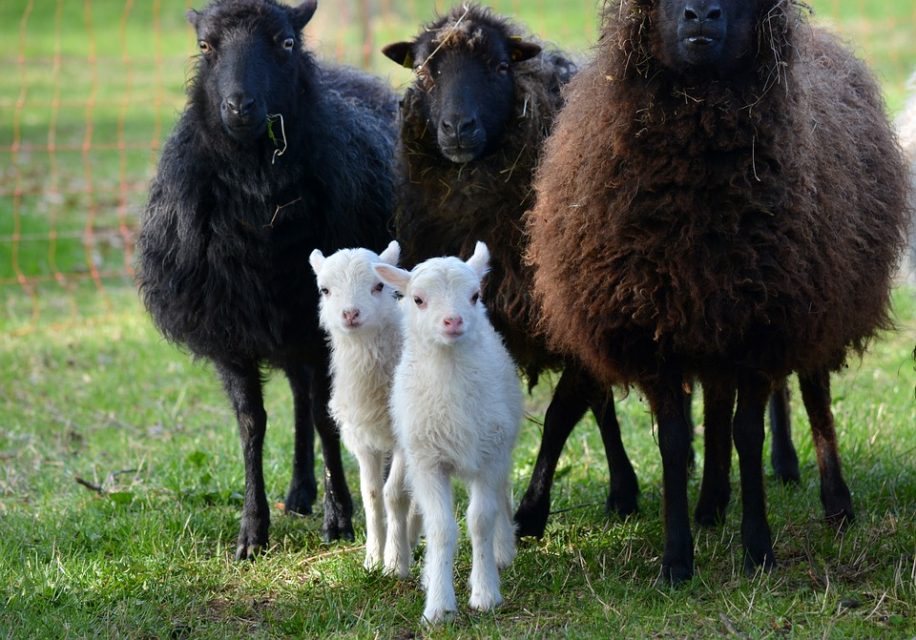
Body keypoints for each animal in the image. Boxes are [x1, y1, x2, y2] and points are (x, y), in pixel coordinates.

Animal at [135, 0, 396, 560]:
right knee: (297, 396)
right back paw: (298, 492)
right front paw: (252, 531)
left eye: (286, 42)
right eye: (206, 45)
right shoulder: (230, 330)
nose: (240, 106)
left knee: (316, 401)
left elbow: (325, 417)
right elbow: (252, 424)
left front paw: (339, 517)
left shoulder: (317, 327)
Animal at [308, 242, 418, 576]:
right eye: (325, 289)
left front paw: (394, 563)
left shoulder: (403, 438)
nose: (350, 313)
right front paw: (372, 559)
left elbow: (395, 494)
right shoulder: (363, 439)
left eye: (378, 286)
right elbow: (372, 495)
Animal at [374, 242, 522, 624]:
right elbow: (441, 528)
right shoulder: (428, 463)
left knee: (502, 495)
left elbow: (481, 521)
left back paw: (503, 551)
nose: (453, 321)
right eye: (418, 299)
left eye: (474, 295)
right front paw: (439, 605)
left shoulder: (490, 455)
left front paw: (485, 594)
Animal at [526, 0, 910, 583]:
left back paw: (835, 502)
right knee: (713, 405)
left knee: (815, 397)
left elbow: (748, 434)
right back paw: (709, 504)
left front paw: (758, 549)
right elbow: (676, 441)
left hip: (815, 306)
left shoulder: (763, 330)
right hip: (710, 324)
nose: (701, 14)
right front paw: (676, 559)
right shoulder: (657, 331)